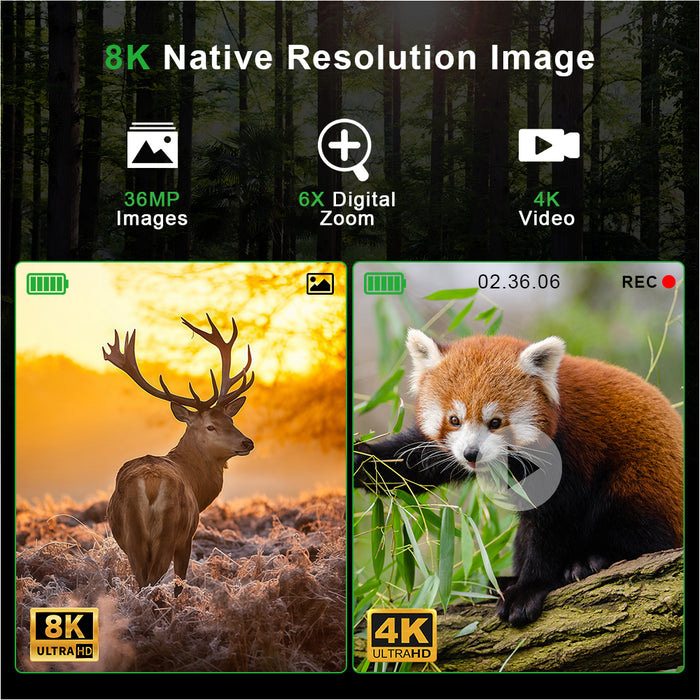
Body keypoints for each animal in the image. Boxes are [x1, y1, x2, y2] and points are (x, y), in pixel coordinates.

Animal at [103, 313, 254, 591]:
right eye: (210, 426)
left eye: (231, 420)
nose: (247, 442)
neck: (196, 484)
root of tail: (150, 484)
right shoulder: (187, 538)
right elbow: (180, 583)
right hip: (168, 532)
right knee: (152, 581)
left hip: (133, 539)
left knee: (141, 582)